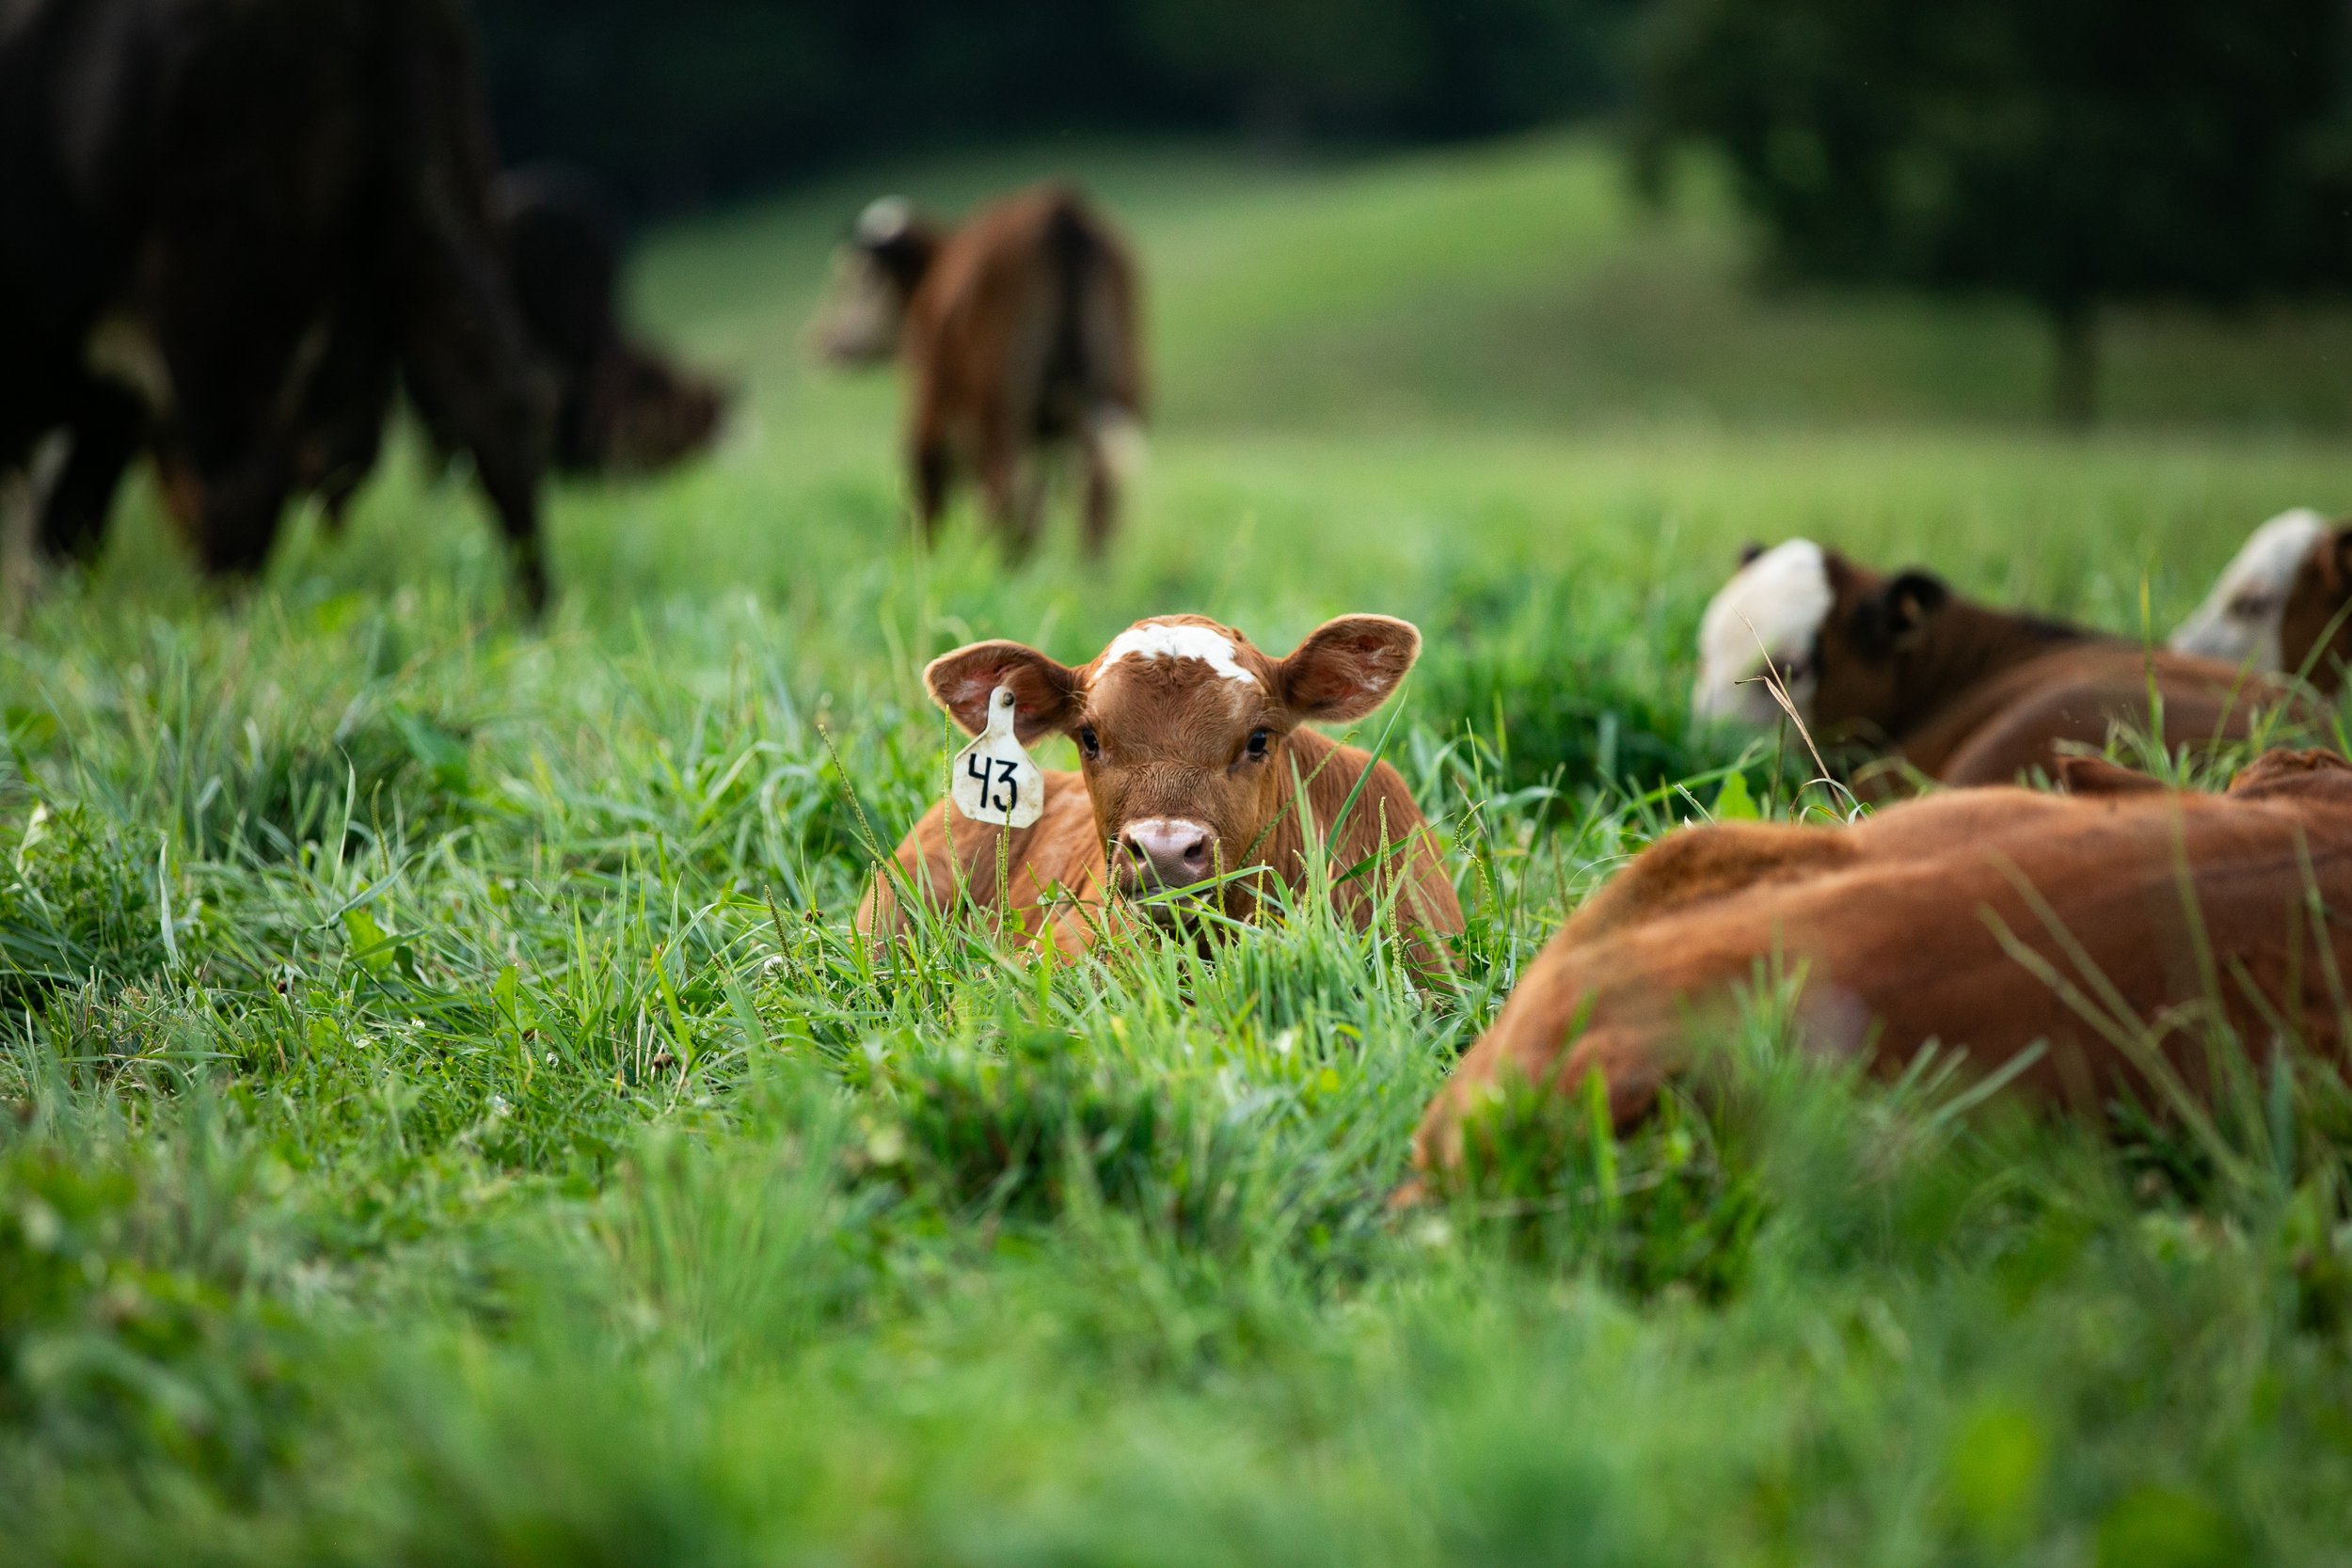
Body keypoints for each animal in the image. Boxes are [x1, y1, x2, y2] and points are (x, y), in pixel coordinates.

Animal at [809, 183, 1146, 559]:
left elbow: (925, 494)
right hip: (1117, 391)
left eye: (853, 279)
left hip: (997, 409)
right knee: (1094, 499)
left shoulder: (928, 409)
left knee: (1004, 498)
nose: (819, 340)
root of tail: (1060, 209)